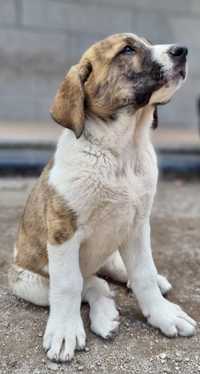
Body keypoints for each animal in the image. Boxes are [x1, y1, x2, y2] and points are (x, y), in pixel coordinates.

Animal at [9, 32, 195, 362]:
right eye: (128, 49)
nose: (182, 51)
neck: (122, 149)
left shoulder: (137, 225)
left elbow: (143, 273)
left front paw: (162, 314)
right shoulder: (63, 231)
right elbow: (68, 285)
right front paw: (65, 332)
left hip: (113, 250)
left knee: (117, 274)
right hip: (29, 283)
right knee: (91, 284)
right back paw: (104, 315)